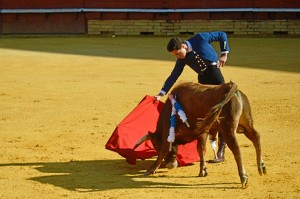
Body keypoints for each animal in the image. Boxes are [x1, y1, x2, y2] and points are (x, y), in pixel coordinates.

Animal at [135, 81, 266, 188]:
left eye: (156, 146)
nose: (170, 165)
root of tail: (230, 88)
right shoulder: (203, 132)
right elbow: (201, 149)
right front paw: (203, 170)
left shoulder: (168, 131)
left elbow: (164, 150)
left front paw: (151, 169)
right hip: (246, 124)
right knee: (256, 137)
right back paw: (261, 167)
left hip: (228, 129)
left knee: (236, 149)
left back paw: (243, 177)